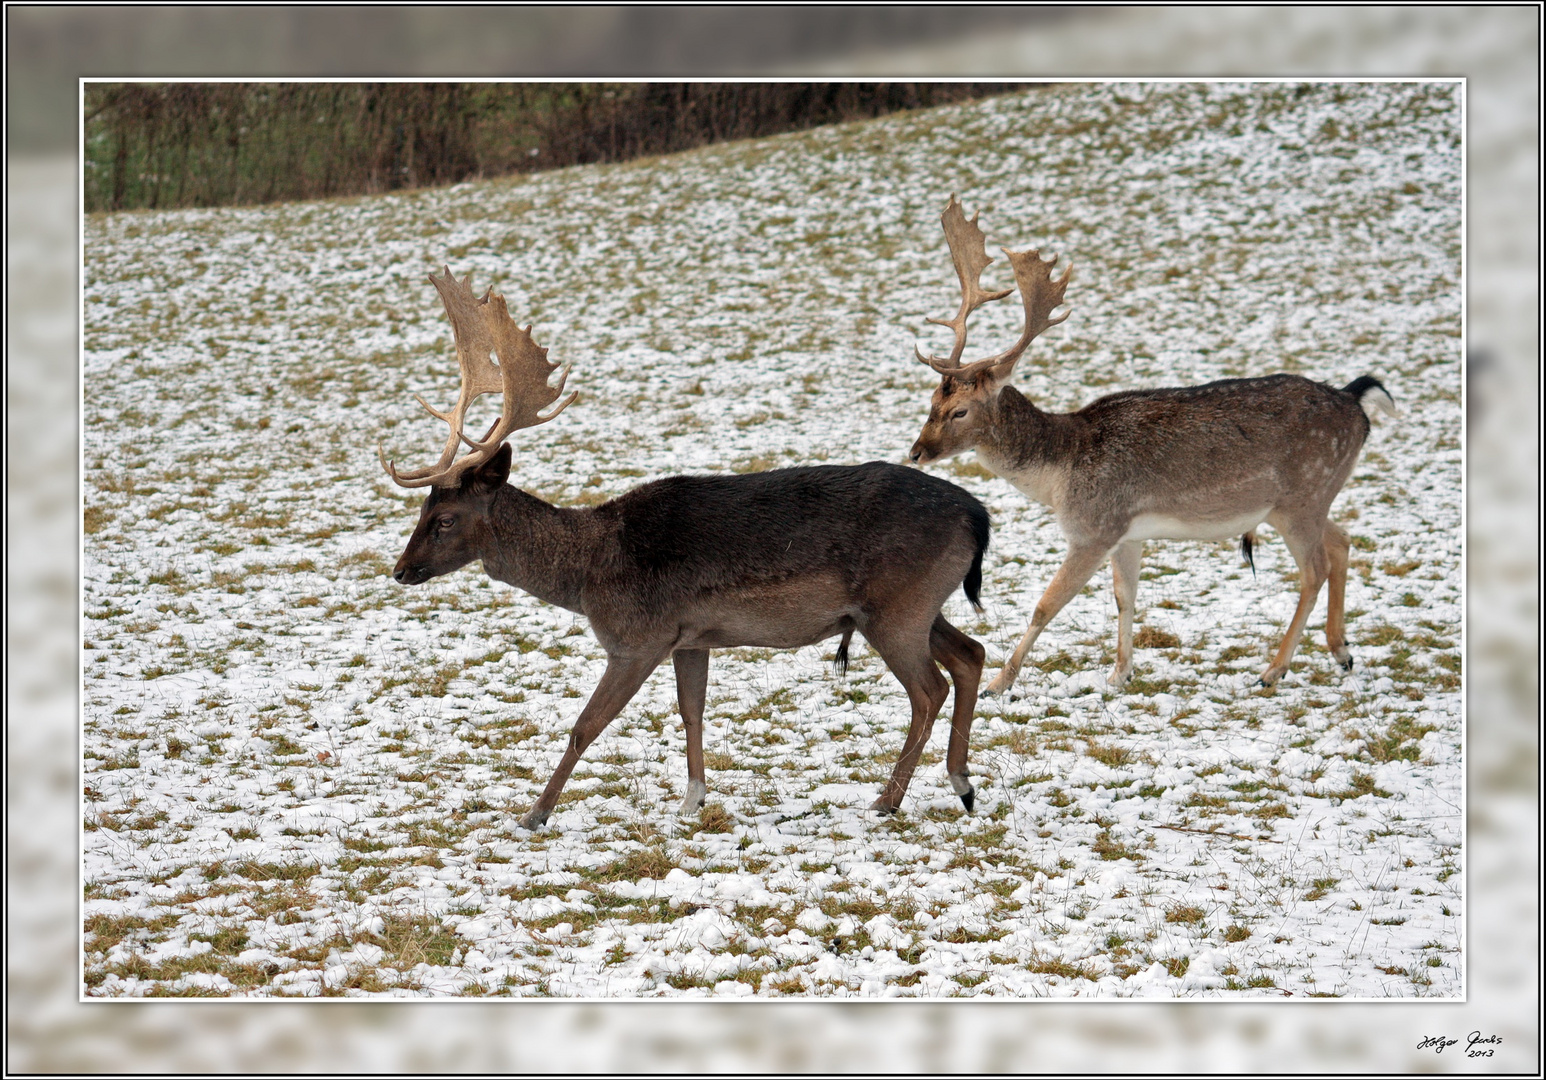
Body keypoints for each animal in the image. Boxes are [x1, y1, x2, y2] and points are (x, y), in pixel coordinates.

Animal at [386, 268, 989, 828]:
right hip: (916, 603)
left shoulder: (637, 637)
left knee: (929, 689)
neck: (588, 576)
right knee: (971, 654)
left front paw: (535, 813)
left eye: (444, 519)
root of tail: (979, 517)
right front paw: (693, 798)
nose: (401, 570)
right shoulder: (691, 637)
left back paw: (890, 798)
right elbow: (691, 712)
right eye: (421, 511)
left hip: (895, 607)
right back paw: (962, 784)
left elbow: (585, 726)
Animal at [902, 199, 1403, 698]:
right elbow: (1124, 597)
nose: (917, 452)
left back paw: (1274, 669)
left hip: (1302, 494)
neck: (1061, 471)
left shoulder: (1094, 528)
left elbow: (1045, 605)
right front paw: (1118, 674)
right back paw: (1342, 652)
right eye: (932, 401)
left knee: (1314, 569)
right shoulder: (1128, 533)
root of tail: (1356, 404)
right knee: (1341, 540)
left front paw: (999, 683)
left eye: (960, 411)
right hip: (1307, 499)